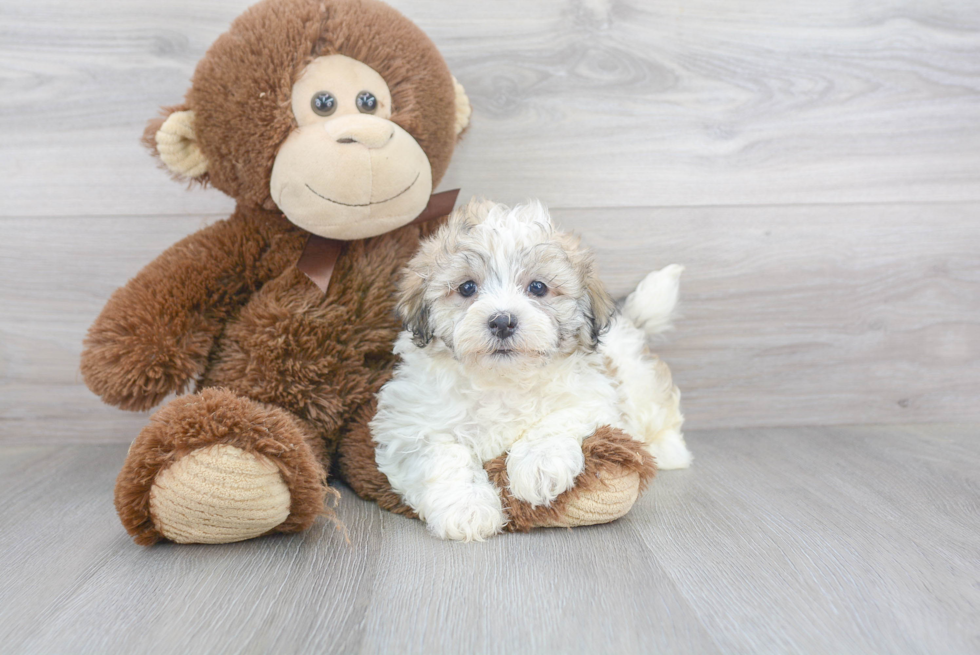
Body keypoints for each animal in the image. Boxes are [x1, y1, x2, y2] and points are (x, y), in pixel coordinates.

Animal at [372, 201, 692, 544]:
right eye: (467, 287)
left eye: (538, 287)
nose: (502, 321)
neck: (501, 381)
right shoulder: (410, 425)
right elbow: (444, 456)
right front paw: (468, 508)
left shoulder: (594, 398)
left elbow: (557, 420)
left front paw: (539, 466)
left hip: (641, 384)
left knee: (662, 413)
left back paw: (670, 451)